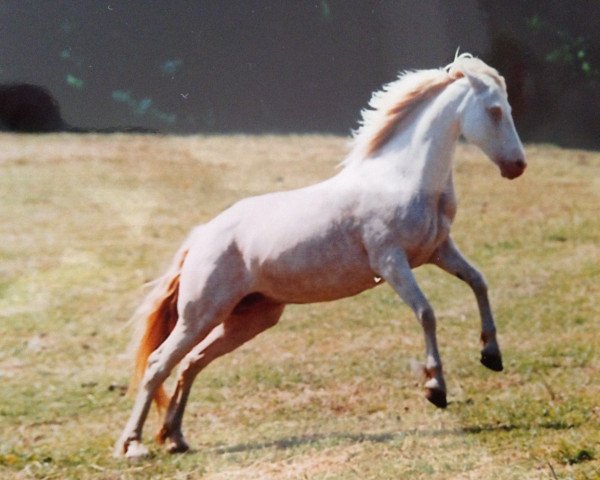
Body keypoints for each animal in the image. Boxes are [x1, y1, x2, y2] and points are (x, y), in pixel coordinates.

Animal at [113, 52, 524, 458]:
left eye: (507, 108)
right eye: (493, 111)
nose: (517, 166)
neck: (402, 178)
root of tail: (199, 238)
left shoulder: (439, 251)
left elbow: (479, 282)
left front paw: (491, 355)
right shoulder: (391, 262)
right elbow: (426, 313)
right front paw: (435, 388)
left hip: (249, 319)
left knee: (191, 363)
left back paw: (175, 438)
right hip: (200, 315)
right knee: (159, 363)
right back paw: (133, 445)